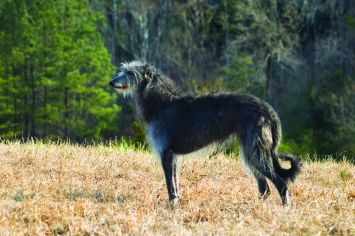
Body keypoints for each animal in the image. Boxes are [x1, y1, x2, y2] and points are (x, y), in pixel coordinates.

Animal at [110, 60, 302, 205]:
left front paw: (171, 206)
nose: (111, 82)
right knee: (264, 187)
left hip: (256, 150)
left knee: (280, 183)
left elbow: (170, 185)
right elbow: (175, 183)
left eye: (130, 72)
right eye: (122, 70)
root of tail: (268, 109)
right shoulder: (173, 156)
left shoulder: (166, 153)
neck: (163, 103)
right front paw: (177, 204)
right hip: (250, 152)